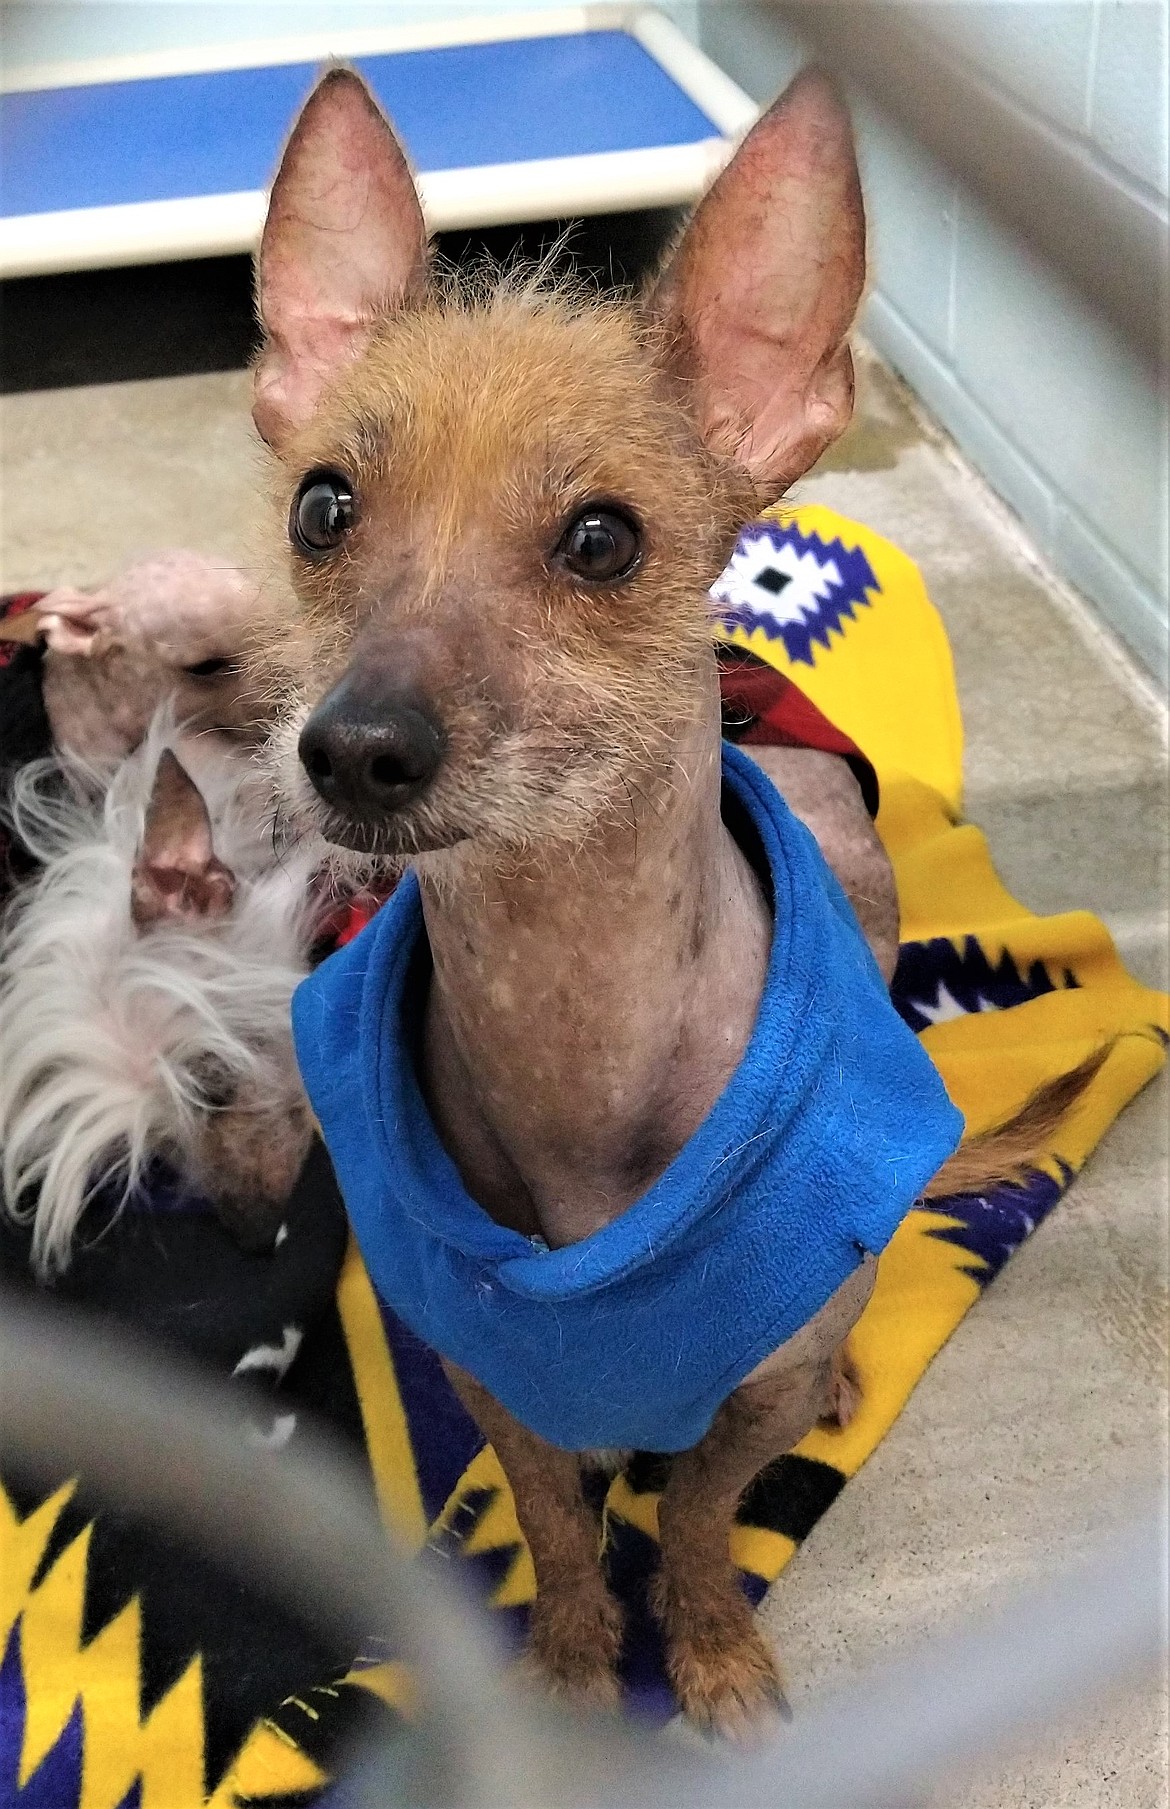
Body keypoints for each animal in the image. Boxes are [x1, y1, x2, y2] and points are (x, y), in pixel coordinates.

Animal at [249, 74, 1070, 1736]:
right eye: (322, 509)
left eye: (601, 539)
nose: (352, 748)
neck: (571, 1013)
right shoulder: (491, 1384)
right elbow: (556, 1520)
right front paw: (570, 1658)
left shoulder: (745, 1397)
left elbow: (695, 1510)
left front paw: (706, 1652)